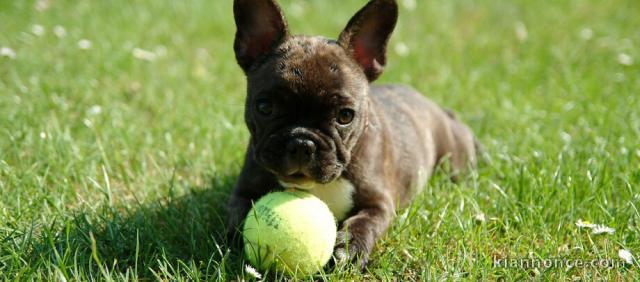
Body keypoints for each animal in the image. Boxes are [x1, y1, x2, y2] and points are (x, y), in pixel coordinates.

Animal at [228, 0, 478, 270]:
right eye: (265, 107)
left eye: (345, 116)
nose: (303, 143)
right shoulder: (243, 192)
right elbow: (238, 218)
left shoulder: (378, 205)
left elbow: (364, 223)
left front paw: (350, 248)